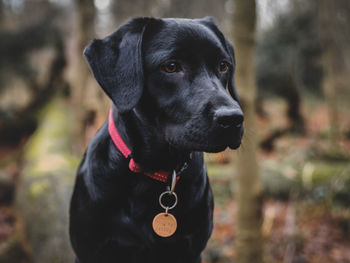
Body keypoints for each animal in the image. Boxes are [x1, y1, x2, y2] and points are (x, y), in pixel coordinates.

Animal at [68, 17, 243, 263]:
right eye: (171, 66)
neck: (156, 169)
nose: (233, 118)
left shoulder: (190, 251)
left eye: (223, 65)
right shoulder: (90, 250)